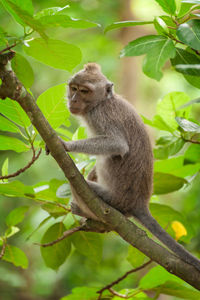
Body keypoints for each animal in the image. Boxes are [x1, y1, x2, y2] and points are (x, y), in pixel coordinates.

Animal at [59, 63, 200, 272]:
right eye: (74, 88)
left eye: (84, 91)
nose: (73, 99)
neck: (101, 102)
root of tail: (139, 203)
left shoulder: (100, 116)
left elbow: (117, 145)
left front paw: (66, 146)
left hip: (114, 198)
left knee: (91, 170)